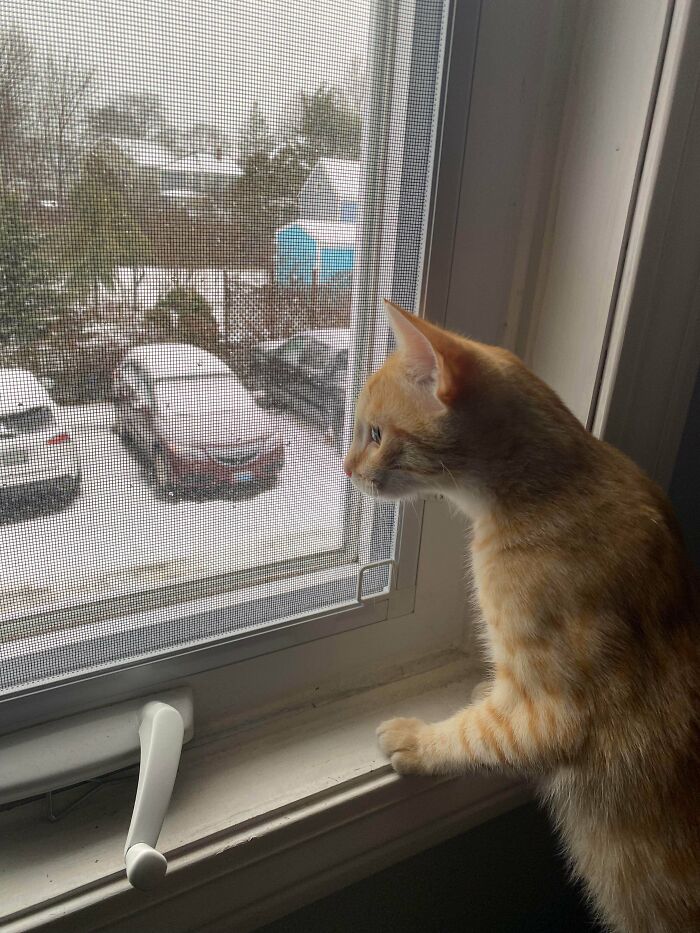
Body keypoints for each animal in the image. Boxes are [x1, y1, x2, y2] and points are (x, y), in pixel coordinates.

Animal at [344, 300, 700, 932]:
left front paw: (419, 740)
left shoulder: (552, 714)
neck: (550, 485)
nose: (344, 469)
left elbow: (480, 732)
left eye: (376, 433)